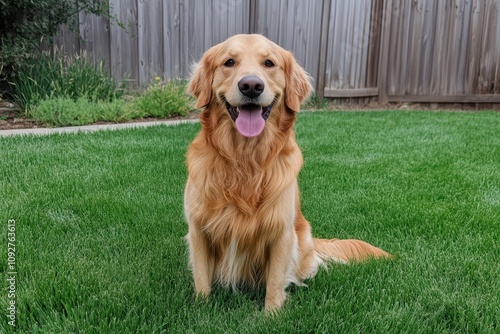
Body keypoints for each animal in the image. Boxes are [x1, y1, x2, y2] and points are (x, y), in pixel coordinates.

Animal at [184, 34, 390, 310]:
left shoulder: (282, 232)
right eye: (229, 62)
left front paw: (272, 313)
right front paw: (202, 308)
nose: (251, 86)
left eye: (269, 63)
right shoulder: (198, 229)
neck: (245, 160)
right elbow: (202, 277)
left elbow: (274, 281)